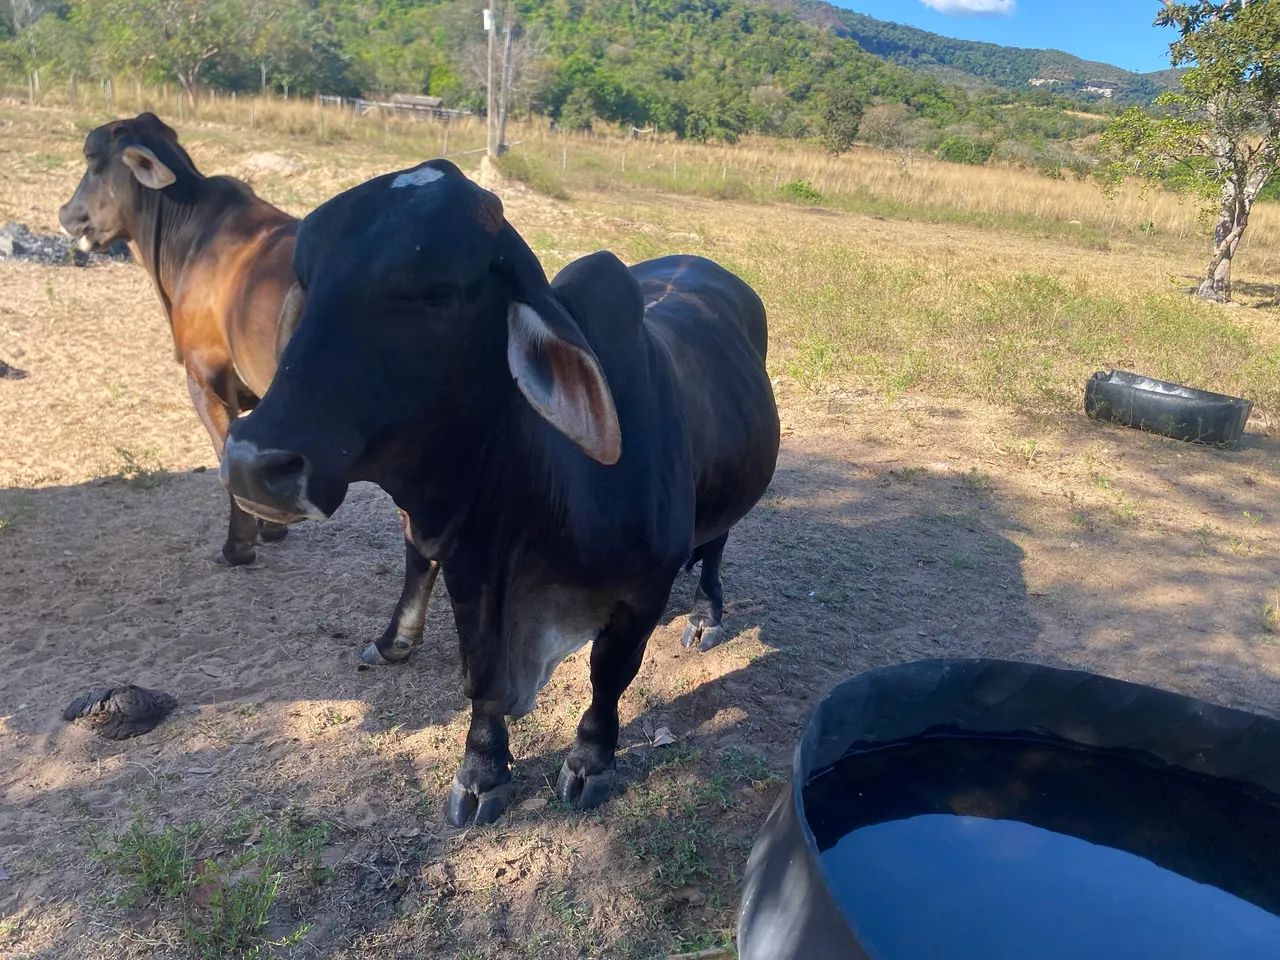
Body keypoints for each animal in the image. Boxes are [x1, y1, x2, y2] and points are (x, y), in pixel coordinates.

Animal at [56, 114, 442, 660]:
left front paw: (238, 547)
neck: (192, 237)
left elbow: (226, 459)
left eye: (92, 158)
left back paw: (394, 641)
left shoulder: (206, 380)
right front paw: (273, 529)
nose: (68, 215)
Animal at [221, 159, 780, 827]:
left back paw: (705, 614)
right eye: (306, 281)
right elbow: (480, 677)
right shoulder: (474, 569)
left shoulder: (645, 587)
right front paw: (483, 770)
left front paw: (590, 761)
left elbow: (610, 673)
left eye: (436, 293)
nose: (253, 463)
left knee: (717, 543)